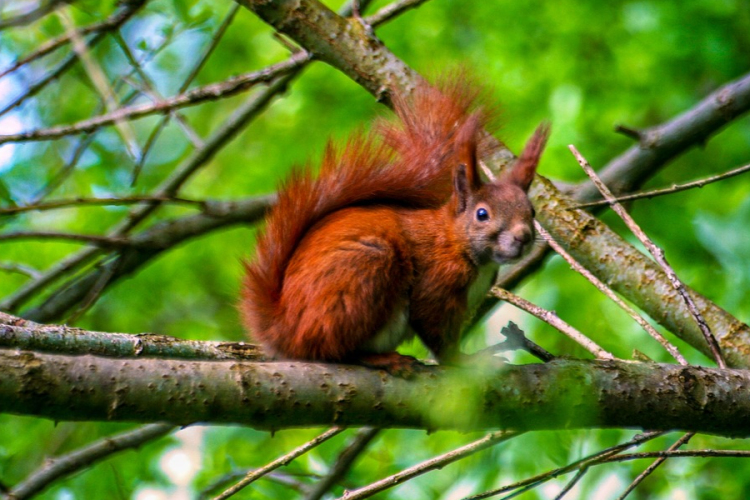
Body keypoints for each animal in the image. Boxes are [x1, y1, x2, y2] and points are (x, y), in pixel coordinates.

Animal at [244, 80, 548, 374]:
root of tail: (284, 329)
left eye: (532, 211)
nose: (523, 237)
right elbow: (436, 332)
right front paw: (466, 361)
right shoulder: (436, 284)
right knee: (333, 350)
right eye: (482, 214)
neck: (455, 241)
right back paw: (382, 359)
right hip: (364, 270)